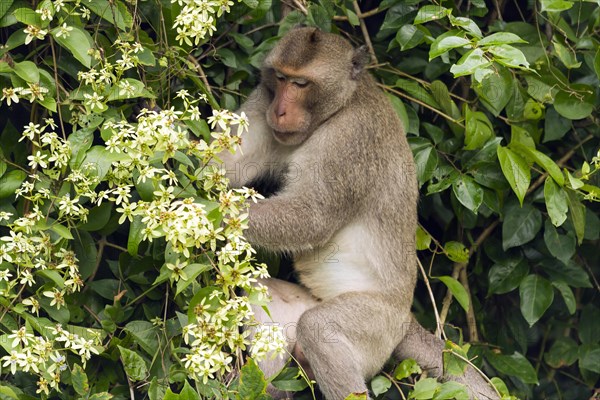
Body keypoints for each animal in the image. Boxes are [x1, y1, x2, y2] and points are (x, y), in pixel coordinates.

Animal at [216, 26, 496, 398]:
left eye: (301, 84)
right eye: (281, 78)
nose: (280, 111)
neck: (339, 107)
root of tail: (405, 320)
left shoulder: (351, 138)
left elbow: (310, 218)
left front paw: (205, 212)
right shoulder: (264, 99)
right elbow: (224, 164)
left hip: (376, 328)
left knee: (319, 328)